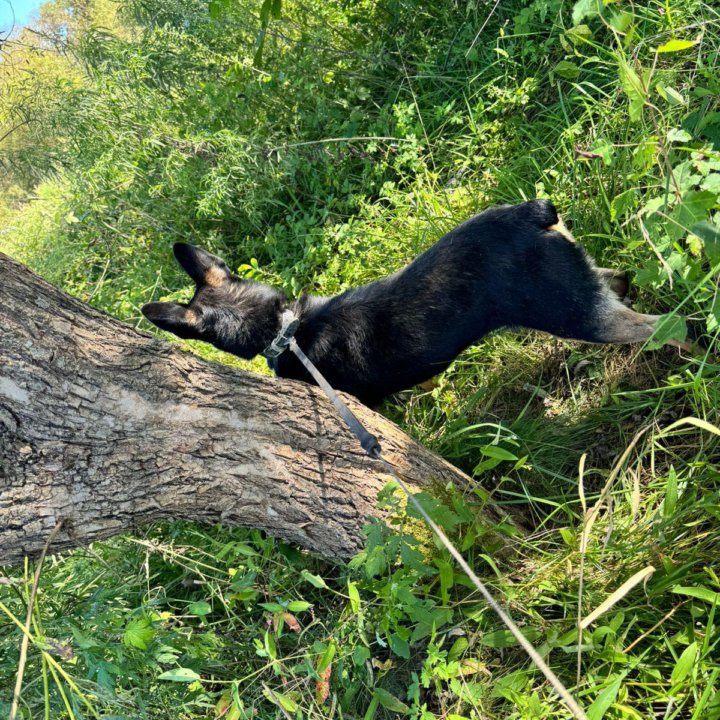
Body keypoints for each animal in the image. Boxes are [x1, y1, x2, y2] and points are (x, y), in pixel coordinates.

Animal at [143, 200, 668, 408]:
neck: (285, 329)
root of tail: (531, 212)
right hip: (579, 286)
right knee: (619, 281)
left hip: (573, 313)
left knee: (668, 325)